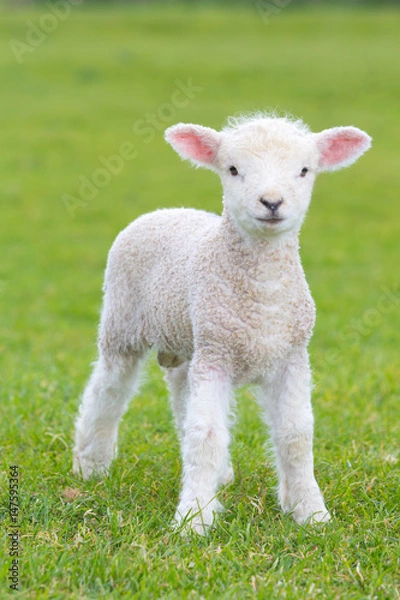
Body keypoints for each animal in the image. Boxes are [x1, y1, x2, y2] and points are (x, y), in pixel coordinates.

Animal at [72, 113, 372, 536]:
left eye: (304, 170)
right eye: (232, 169)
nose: (271, 202)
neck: (262, 295)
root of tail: (167, 209)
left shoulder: (291, 355)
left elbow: (296, 435)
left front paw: (310, 513)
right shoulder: (216, 355)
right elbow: (207, 435)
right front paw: (193, 520)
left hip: (189, 339)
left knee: (180, 392)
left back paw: (219, 474)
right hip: (123, 322)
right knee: (108, 390)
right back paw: (91, 464)